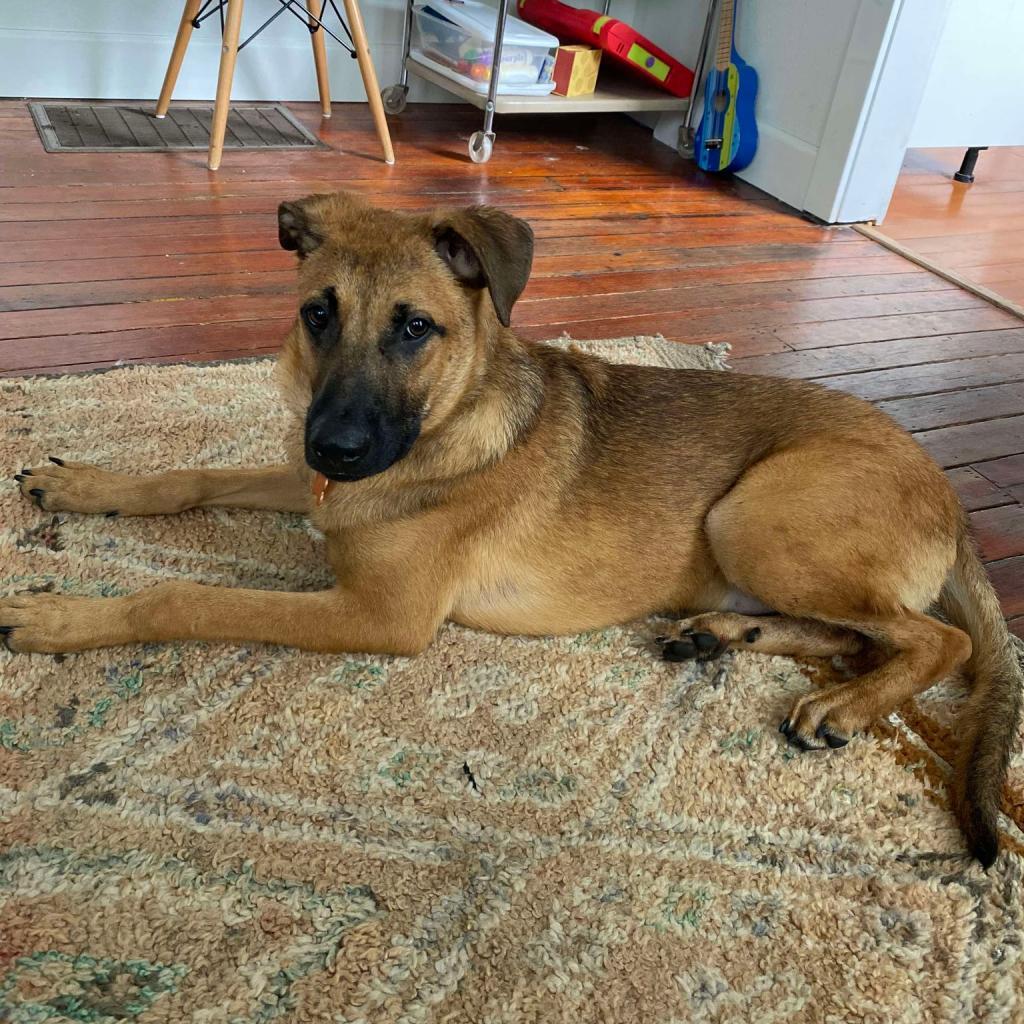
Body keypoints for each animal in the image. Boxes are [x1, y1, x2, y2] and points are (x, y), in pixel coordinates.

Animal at [4, 190, 1019, 864]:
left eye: (415, 328)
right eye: (316, 314)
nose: (335, 447)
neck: (447, 425)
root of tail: (947, 493)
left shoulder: (381, 617)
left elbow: (183, 594)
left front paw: (59, 617)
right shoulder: (313, 489)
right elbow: (190, 476)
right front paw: (85, 484)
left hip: (754, 515)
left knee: (937, 642)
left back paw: (844, 704)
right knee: (858, 634)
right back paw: (724, 634)